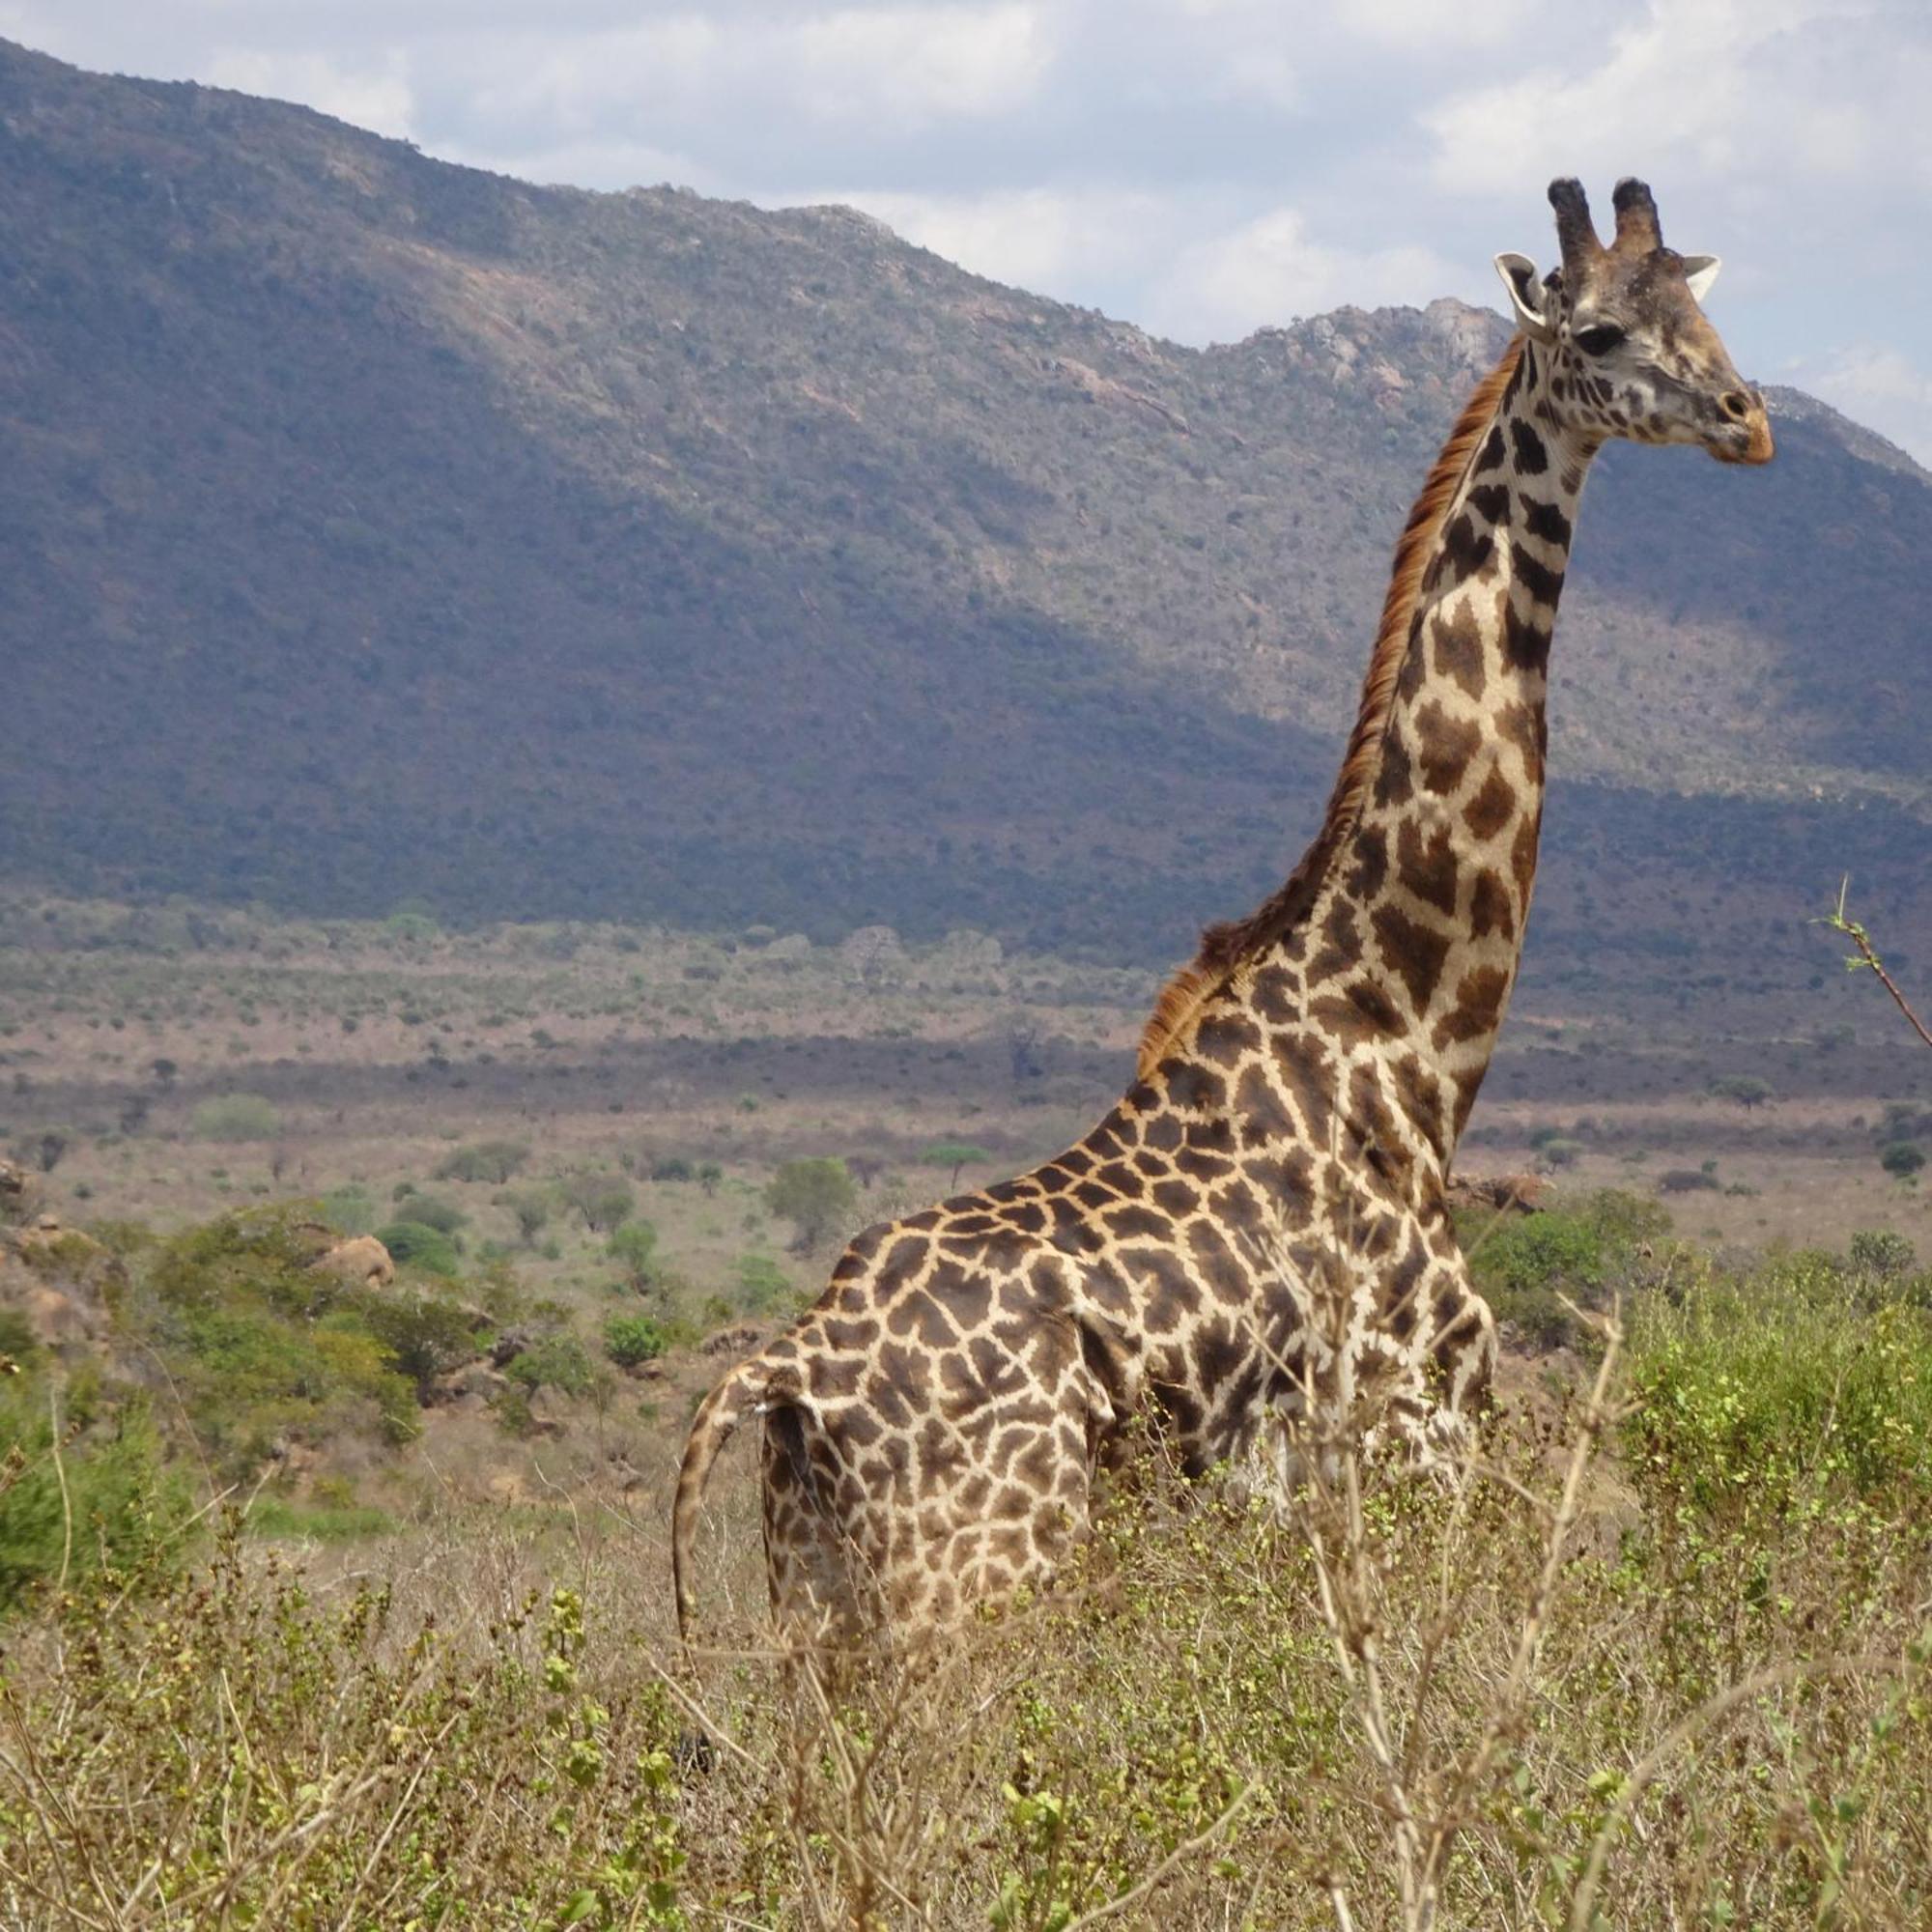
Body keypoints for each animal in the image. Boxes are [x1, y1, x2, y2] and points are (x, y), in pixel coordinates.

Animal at [672, 174, 1770, 1638]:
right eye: (1597, 333)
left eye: (1698, 304)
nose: (1747, 420)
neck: (1407, 1039)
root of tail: (785, 1372)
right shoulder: (1422, 1433)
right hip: (978, 1577)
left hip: (822, 1594)